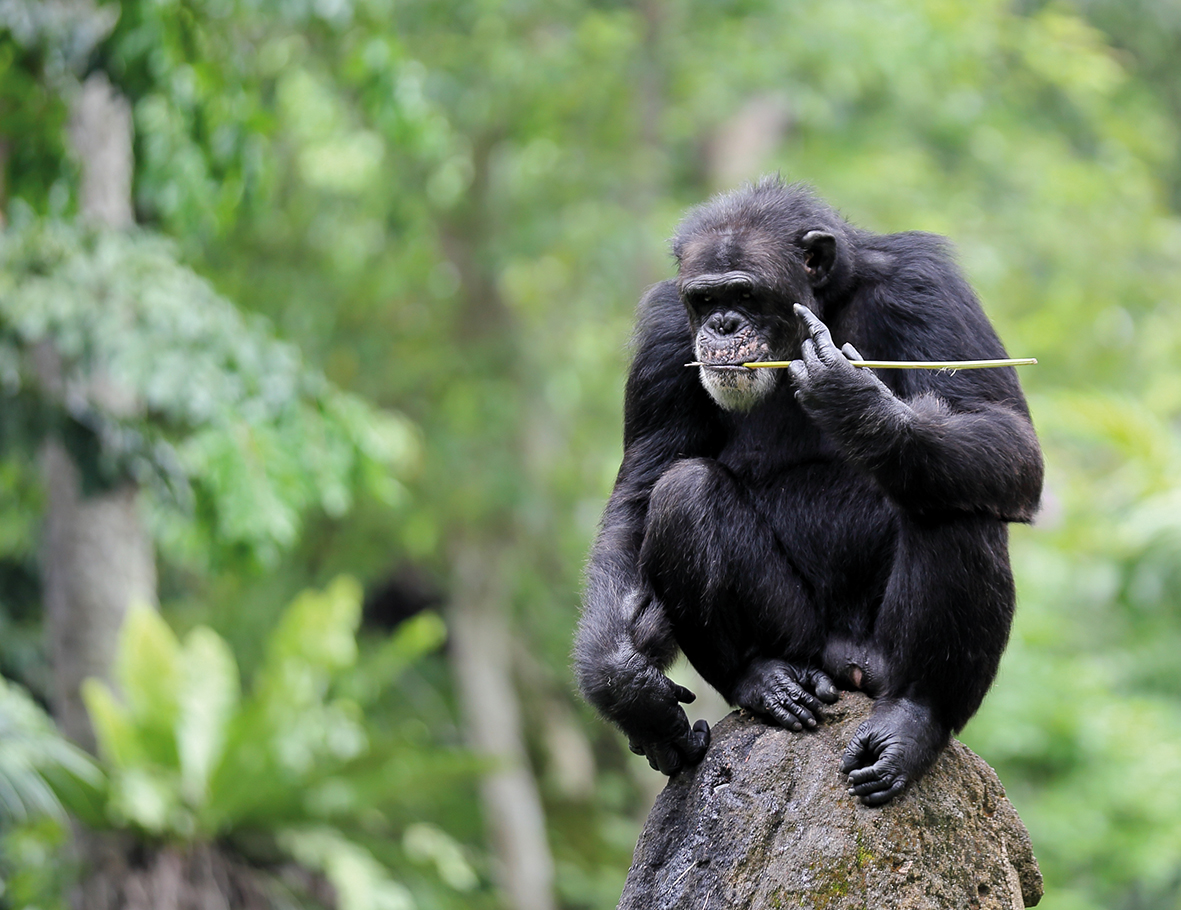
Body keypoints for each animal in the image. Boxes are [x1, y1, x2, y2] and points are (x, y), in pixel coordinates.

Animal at [573, 178, 1044, 802]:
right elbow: (641, 489)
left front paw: (854, 401)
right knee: (682, 492)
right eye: (703, 300)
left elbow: (1005, 431)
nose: (721, 325)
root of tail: (845, 664)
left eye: (745, 294)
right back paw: (760, 678)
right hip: (802, 641)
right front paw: (628, 691)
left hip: (881, 658)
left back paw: (913, 720)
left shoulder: (927, 284)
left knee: (956, 500)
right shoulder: (663, 334)